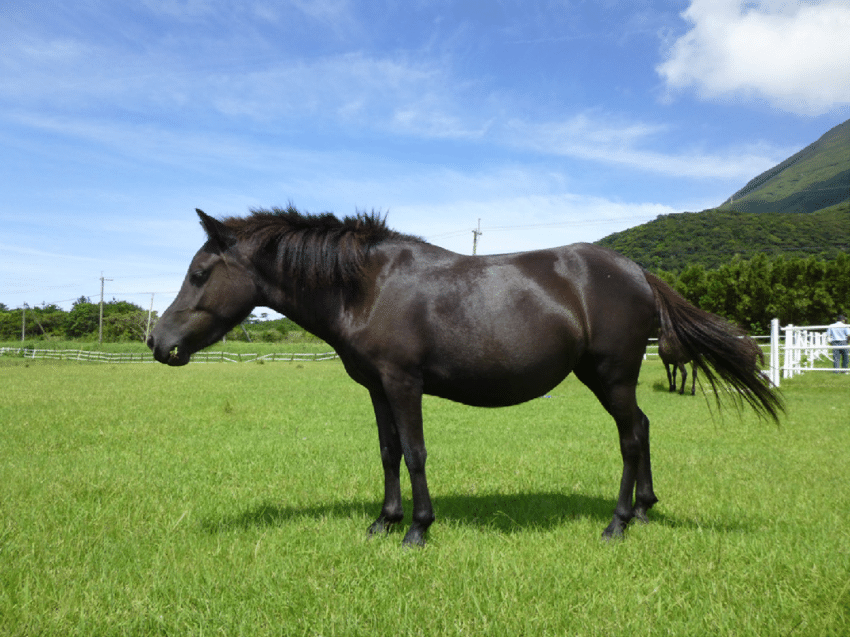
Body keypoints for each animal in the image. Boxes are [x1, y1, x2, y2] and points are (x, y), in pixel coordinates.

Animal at [147, 206, 780, 544]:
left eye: (199, 273)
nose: (158, 341)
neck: (366, 286)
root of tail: (638, 272)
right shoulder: (377, 388)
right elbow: (388, 453)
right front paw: (383, 522)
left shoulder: (404, 383)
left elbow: (416, 453)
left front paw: (417, 529)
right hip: (606, 379)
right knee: (644, 429)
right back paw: (646, 508)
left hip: (612, 376)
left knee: (629, 438)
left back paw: (618, 523)